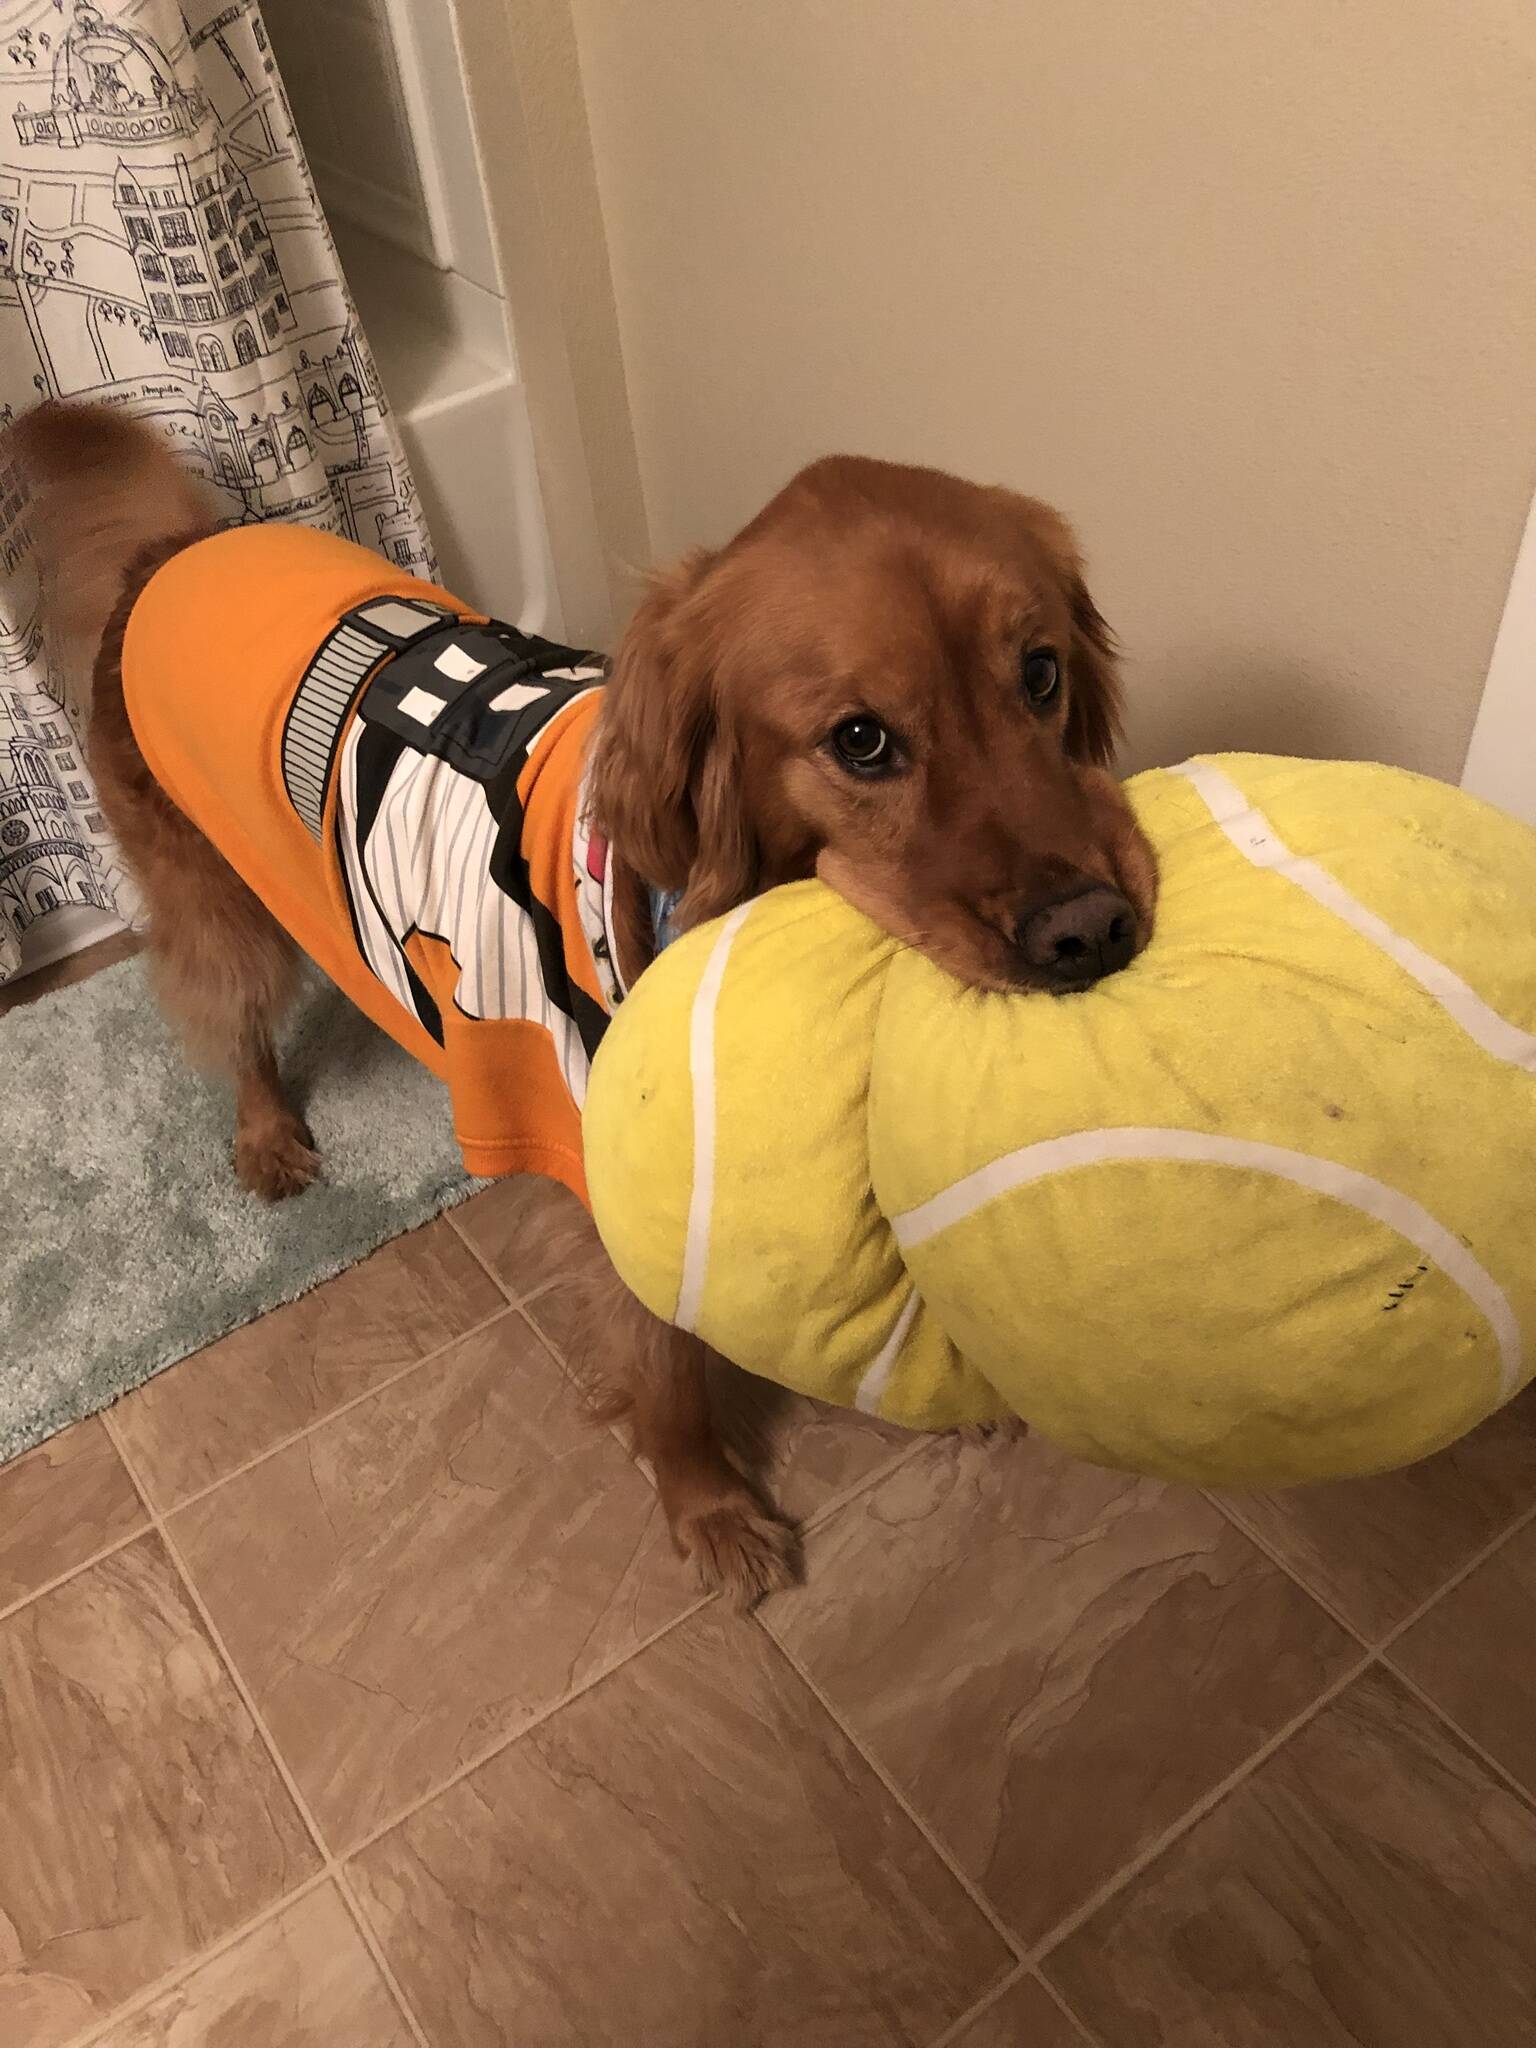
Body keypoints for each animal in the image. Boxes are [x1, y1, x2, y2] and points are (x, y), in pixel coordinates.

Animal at [9, 407, 1155, 1605]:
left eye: (1040, 674)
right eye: (860, 740)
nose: (1092, 930)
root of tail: (174, 552)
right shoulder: (614, 1186)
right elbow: (666, 1372)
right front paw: (708, 1507)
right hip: (215, 899)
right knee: (232, 1018)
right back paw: (267, 1132)